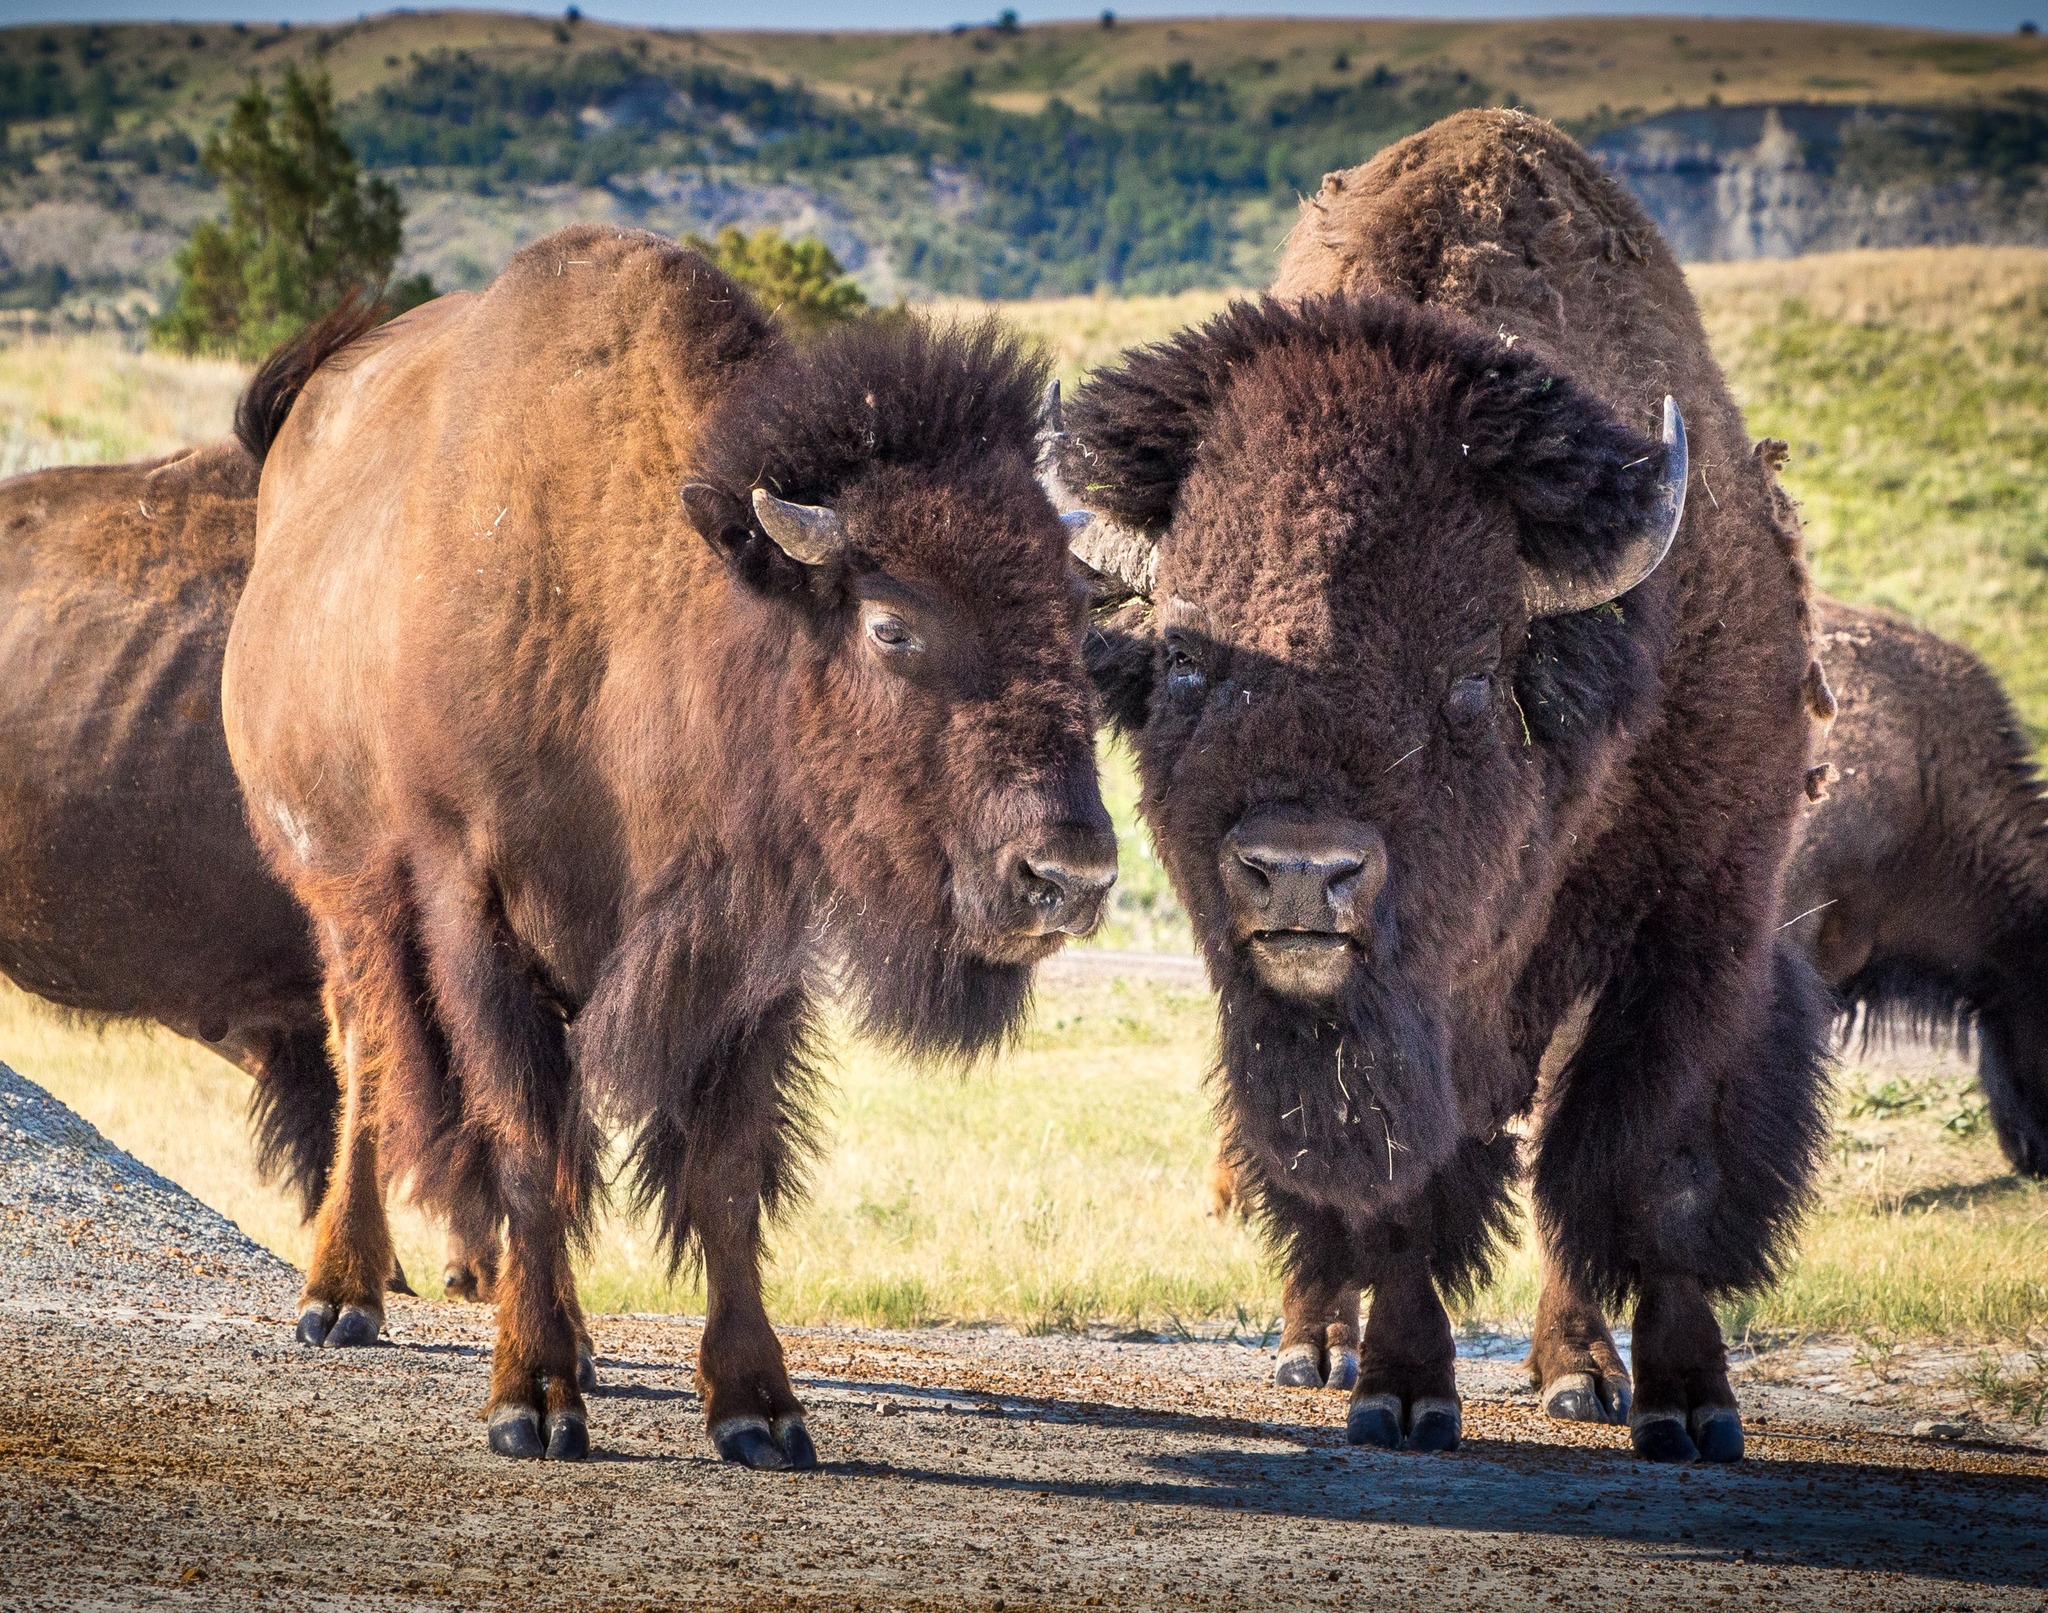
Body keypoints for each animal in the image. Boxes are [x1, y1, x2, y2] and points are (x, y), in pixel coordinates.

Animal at [223, 225, 1116, 1466]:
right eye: (890, 624)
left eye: (1078, 618)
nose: (1067, 872)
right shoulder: (474, 909)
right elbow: (526, 1142)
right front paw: (532, 1398)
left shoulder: (750, 959)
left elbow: (723, 1174)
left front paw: (758, 1406)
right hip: (337, 891)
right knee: (367, 1059)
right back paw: (341, 1293)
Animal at [1055, 110, 1832, 1462]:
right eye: (1185, 657)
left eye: (1468, 681)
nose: (1299, 873)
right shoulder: (1372, 1013)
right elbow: (1396, 1185)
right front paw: (1403, 1389)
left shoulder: (1699, 920)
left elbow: (1656, 1164)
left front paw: (1690, 1403)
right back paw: (1314, 1346)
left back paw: (1576, 1372)